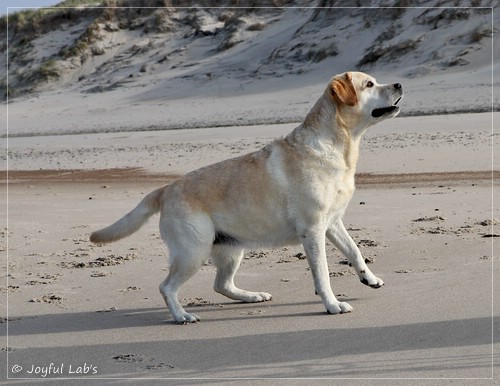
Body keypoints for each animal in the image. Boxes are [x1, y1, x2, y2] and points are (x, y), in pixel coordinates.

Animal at [90, 71, 402, 322]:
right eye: (369, 84)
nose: (399, 84)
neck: (338, 145)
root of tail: (166, 188)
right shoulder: (312, 230)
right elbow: (322, 273)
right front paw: (332, 304)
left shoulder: (333, 222)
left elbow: (354, 250)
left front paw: (370, 278)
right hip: (194, 251)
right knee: (167, 287)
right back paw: (182, 316)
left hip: (231, 249)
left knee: (221, 285)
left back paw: (252, 296)